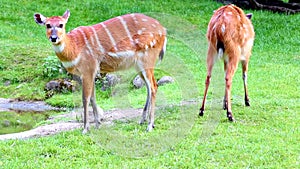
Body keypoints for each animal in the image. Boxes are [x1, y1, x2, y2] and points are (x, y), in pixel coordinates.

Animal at [34, 9, 169, 133]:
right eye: (48, 25)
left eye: (61, 24)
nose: (53, 38)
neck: (74, 49)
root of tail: (163, 30)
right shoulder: (91, 72)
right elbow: (93, 97)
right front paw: (98, 124)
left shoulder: (88, 68)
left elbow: (85, 98)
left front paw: (85, 129)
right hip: (138, 64)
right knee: (149, 87)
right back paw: (142, 120)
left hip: (147, 58)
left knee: (153, 86)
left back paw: (150, 125)